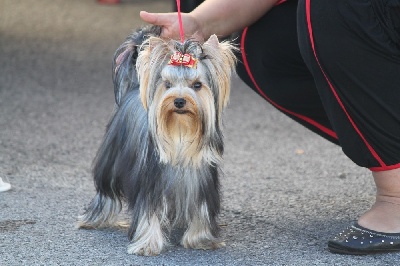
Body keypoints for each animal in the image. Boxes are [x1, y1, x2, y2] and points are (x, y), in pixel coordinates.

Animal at [76, 26, 236, 256]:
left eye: (197, 85)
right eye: (167, 84)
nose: (179, 101)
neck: (180, 133)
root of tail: (134, 88)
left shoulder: (202, 182)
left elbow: (201, 210)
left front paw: (201, 239)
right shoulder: (149, 184)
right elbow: (148, 212)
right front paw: (147, 244)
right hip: (111, 162)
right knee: (106, 191)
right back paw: (94, 219)